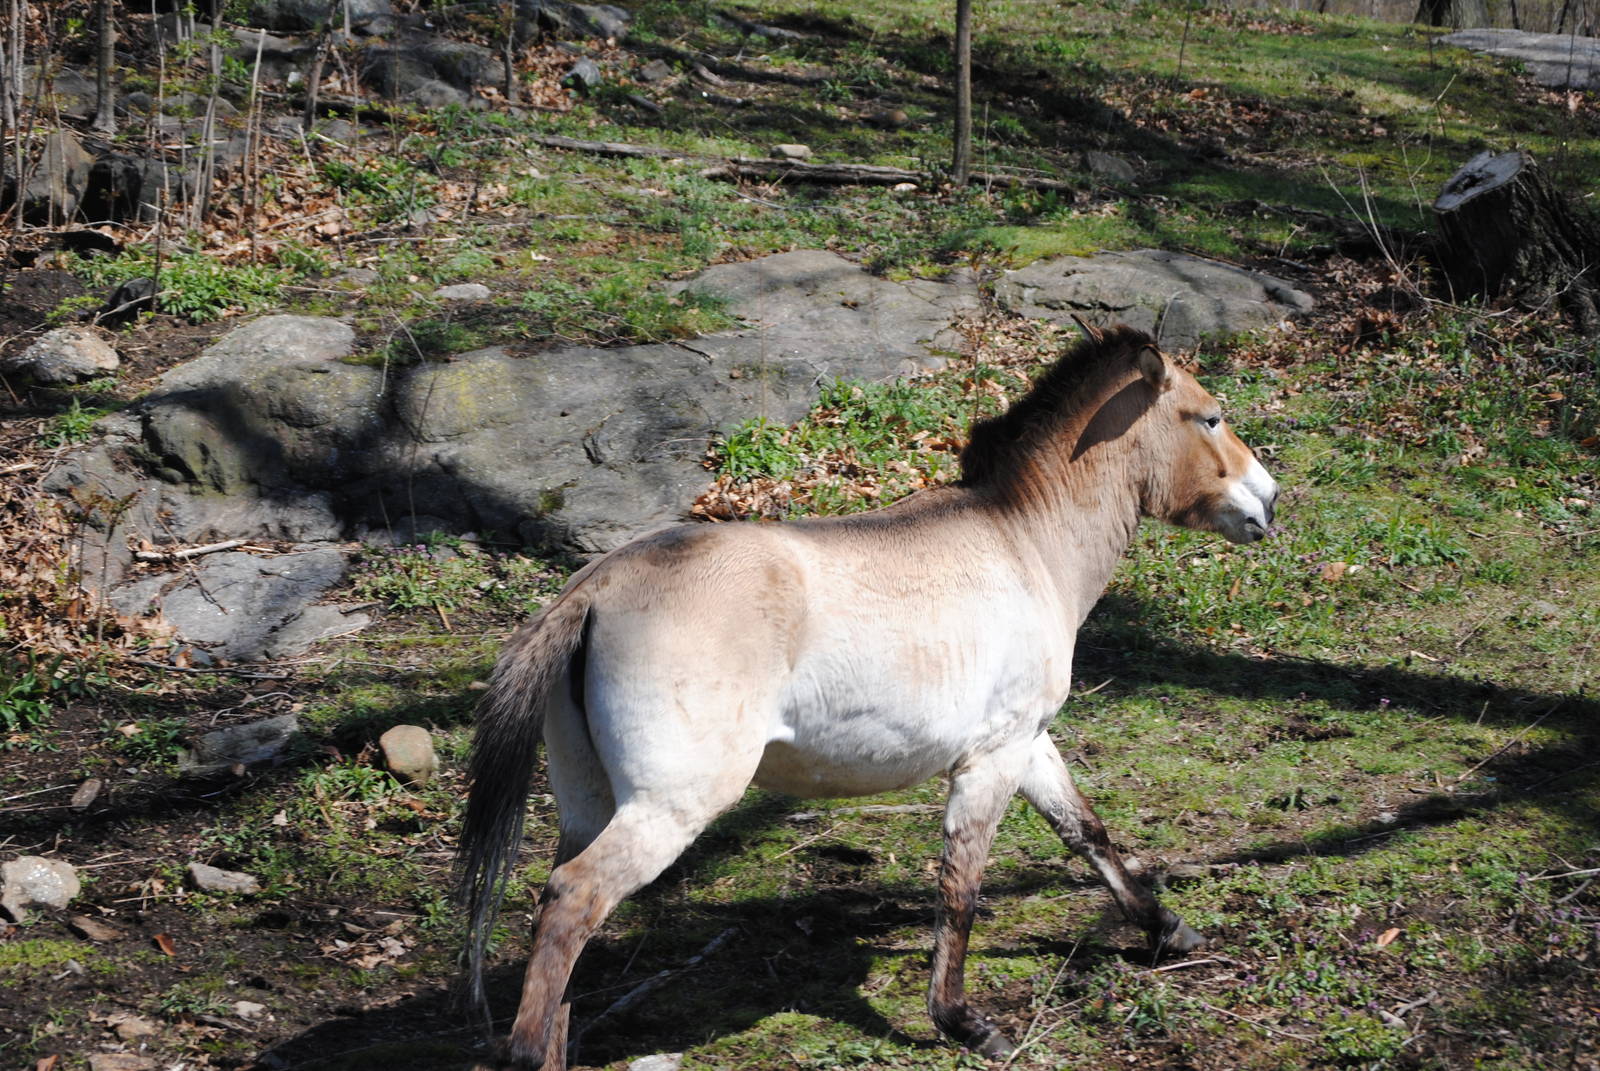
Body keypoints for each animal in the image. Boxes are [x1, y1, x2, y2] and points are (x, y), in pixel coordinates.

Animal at [456, 319, 1280, 1069]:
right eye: (1210, 416)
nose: (1267, 500)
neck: (1023, 541)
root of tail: (596, 590)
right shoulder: (989, 761)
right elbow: (960, 886)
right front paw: (964, 1022)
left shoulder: (1027, 743)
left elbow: (1087, 833)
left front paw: (1167, 929)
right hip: (669, 807)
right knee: (571, 900)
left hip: (589, 805)